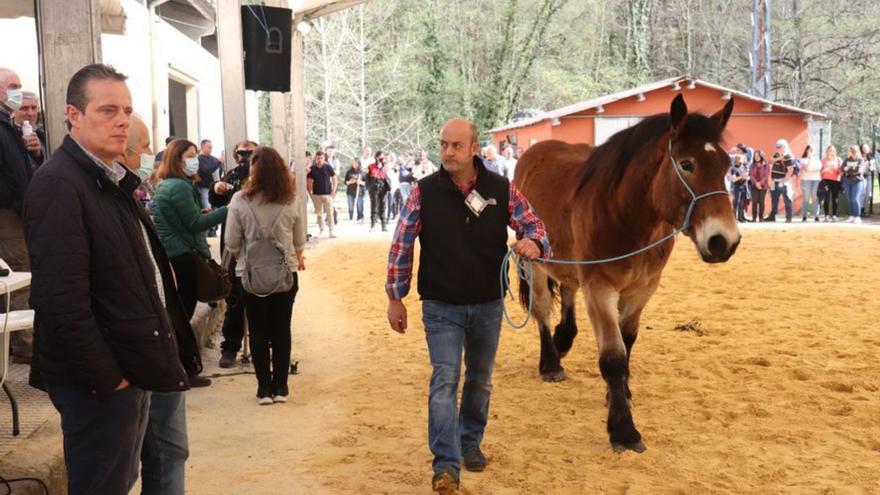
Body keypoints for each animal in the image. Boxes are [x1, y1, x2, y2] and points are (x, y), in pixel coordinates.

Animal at [516, 94, 744, 454]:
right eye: (686, 164)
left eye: (725, 166)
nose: (724, 240)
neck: (626, 214)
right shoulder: (599, 289)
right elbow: (613, 356)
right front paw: (623, 429)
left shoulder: (642, 290)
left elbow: (628, 343)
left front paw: (619, 394)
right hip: (533, 261)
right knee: (540, 308)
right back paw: (551, 362)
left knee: (567, 290)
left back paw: (564, 338)